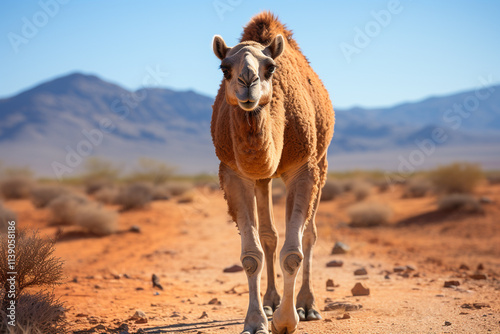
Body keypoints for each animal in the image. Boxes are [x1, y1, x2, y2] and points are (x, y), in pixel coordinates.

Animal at [212, 11, 336, 332]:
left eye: (270, 67)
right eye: (224, 68)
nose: (248, 81)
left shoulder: (303, 167)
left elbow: (294, 253)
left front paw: (288, 320)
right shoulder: (233, 172)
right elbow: (251, 255)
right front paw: (257, 320)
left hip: (322, 163)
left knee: (310, 234)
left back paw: (307, 305)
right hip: (264, 179)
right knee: (269, 236)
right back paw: (270, 301)